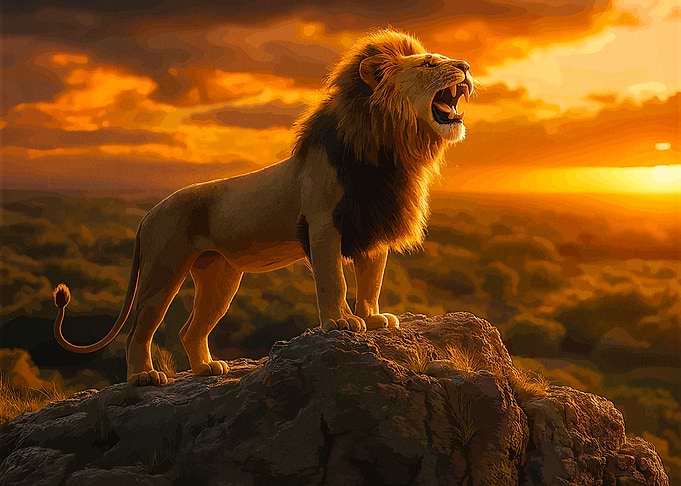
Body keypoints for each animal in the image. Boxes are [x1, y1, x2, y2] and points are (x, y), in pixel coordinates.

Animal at [52, 29, 474, 386]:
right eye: (429, 63)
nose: (468, 66)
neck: (391, 147)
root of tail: (146, 215)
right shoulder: (323, 224)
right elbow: (333, 280)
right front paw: (340, 322)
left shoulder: (371, 226)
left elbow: (372, 280)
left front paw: (372, 317)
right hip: (163, 268)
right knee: (139, 329)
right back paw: (144, 377)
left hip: (220, 278)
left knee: (191, 329)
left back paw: (207, 368)